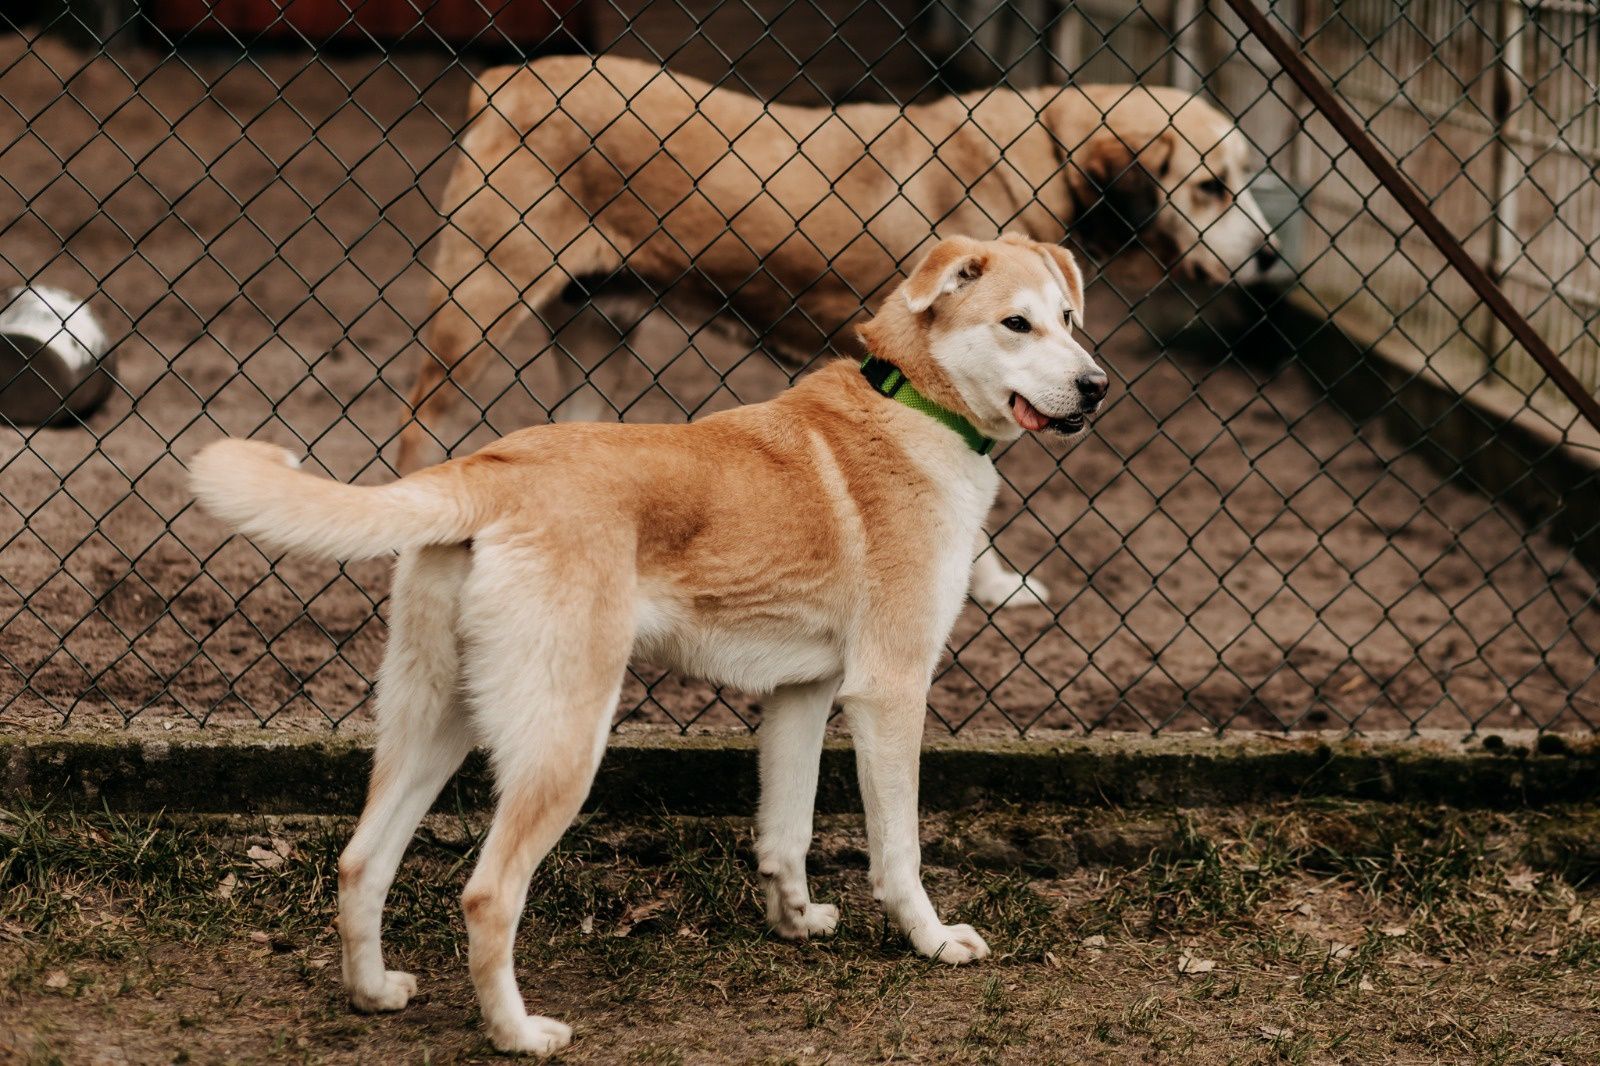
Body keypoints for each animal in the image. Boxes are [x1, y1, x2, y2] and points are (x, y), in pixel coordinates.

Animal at [390, 58, 1273, 605]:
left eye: (1244, 179)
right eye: (1210, 186)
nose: (1269, 256)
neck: (1050, 147)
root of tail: (506, 82)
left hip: (599, 324)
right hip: (478, 305)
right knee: (419, 422)